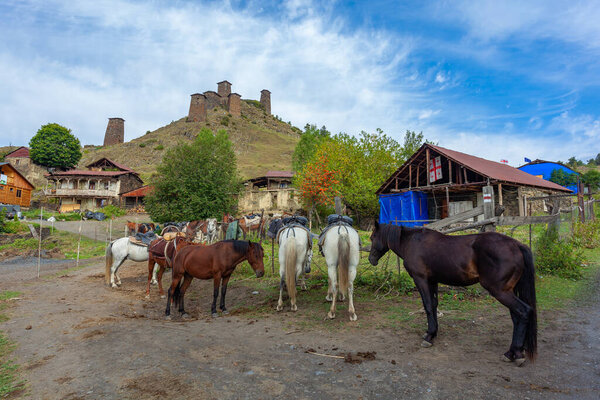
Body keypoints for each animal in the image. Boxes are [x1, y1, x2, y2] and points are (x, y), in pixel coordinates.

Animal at [368, 222, 536, 366]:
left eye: (372, 237)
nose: (371, 259)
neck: (412, 242)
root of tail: (516, 245)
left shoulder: (421, 280)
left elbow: (427, 306)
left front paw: (429, 337)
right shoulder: (432, 281)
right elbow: (434, 305)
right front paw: (433, 333)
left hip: (500, 291)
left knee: (524, 311)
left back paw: (516, 354)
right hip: (509, 291)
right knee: (516, 317)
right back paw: (512, 353)